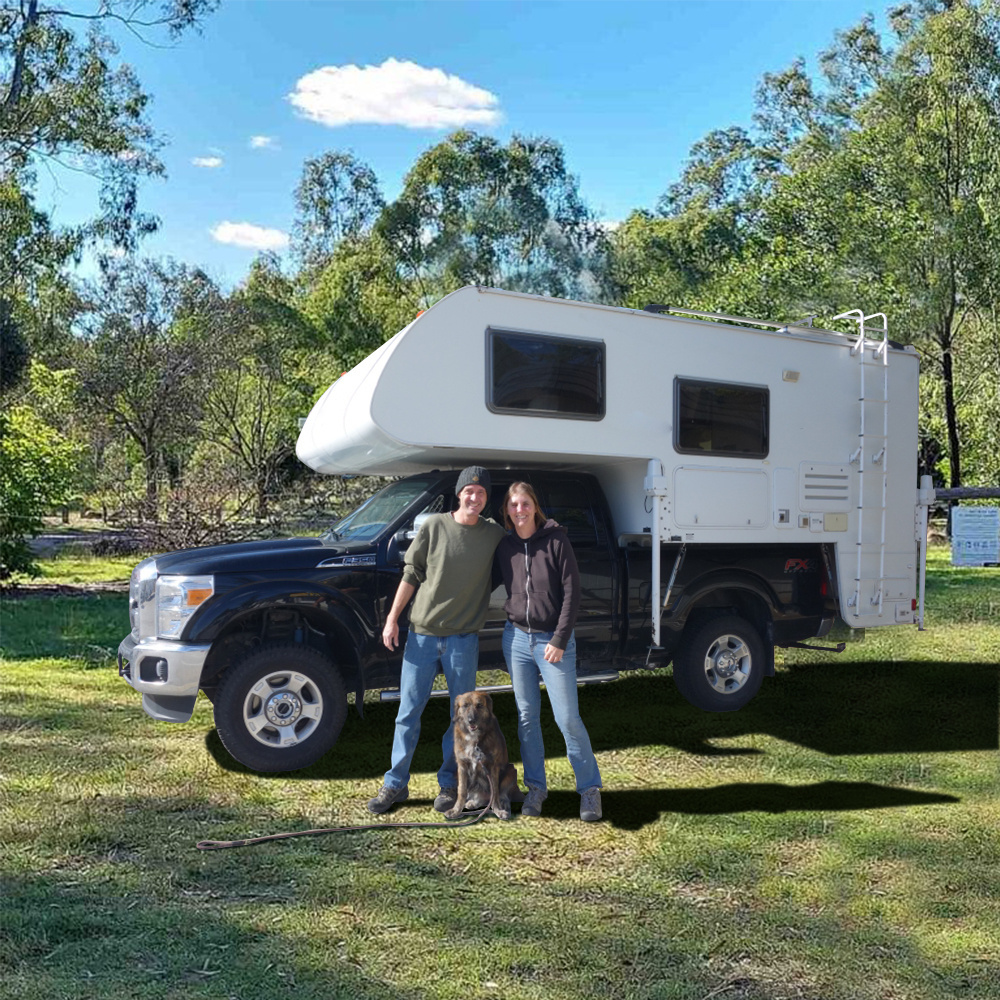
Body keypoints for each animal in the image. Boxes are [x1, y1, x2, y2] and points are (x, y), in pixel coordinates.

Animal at [446, 688, 524, 820]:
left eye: (479, 705)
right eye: (465, 706)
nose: (471, 720)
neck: (474, 738)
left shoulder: (493, 766)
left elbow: (495, 791)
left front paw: (498, 810)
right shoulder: (462, 766)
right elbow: (461, 791)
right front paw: (456, 811)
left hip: (511, 770)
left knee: (502, 794)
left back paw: (502, 804)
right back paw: (474, 803)